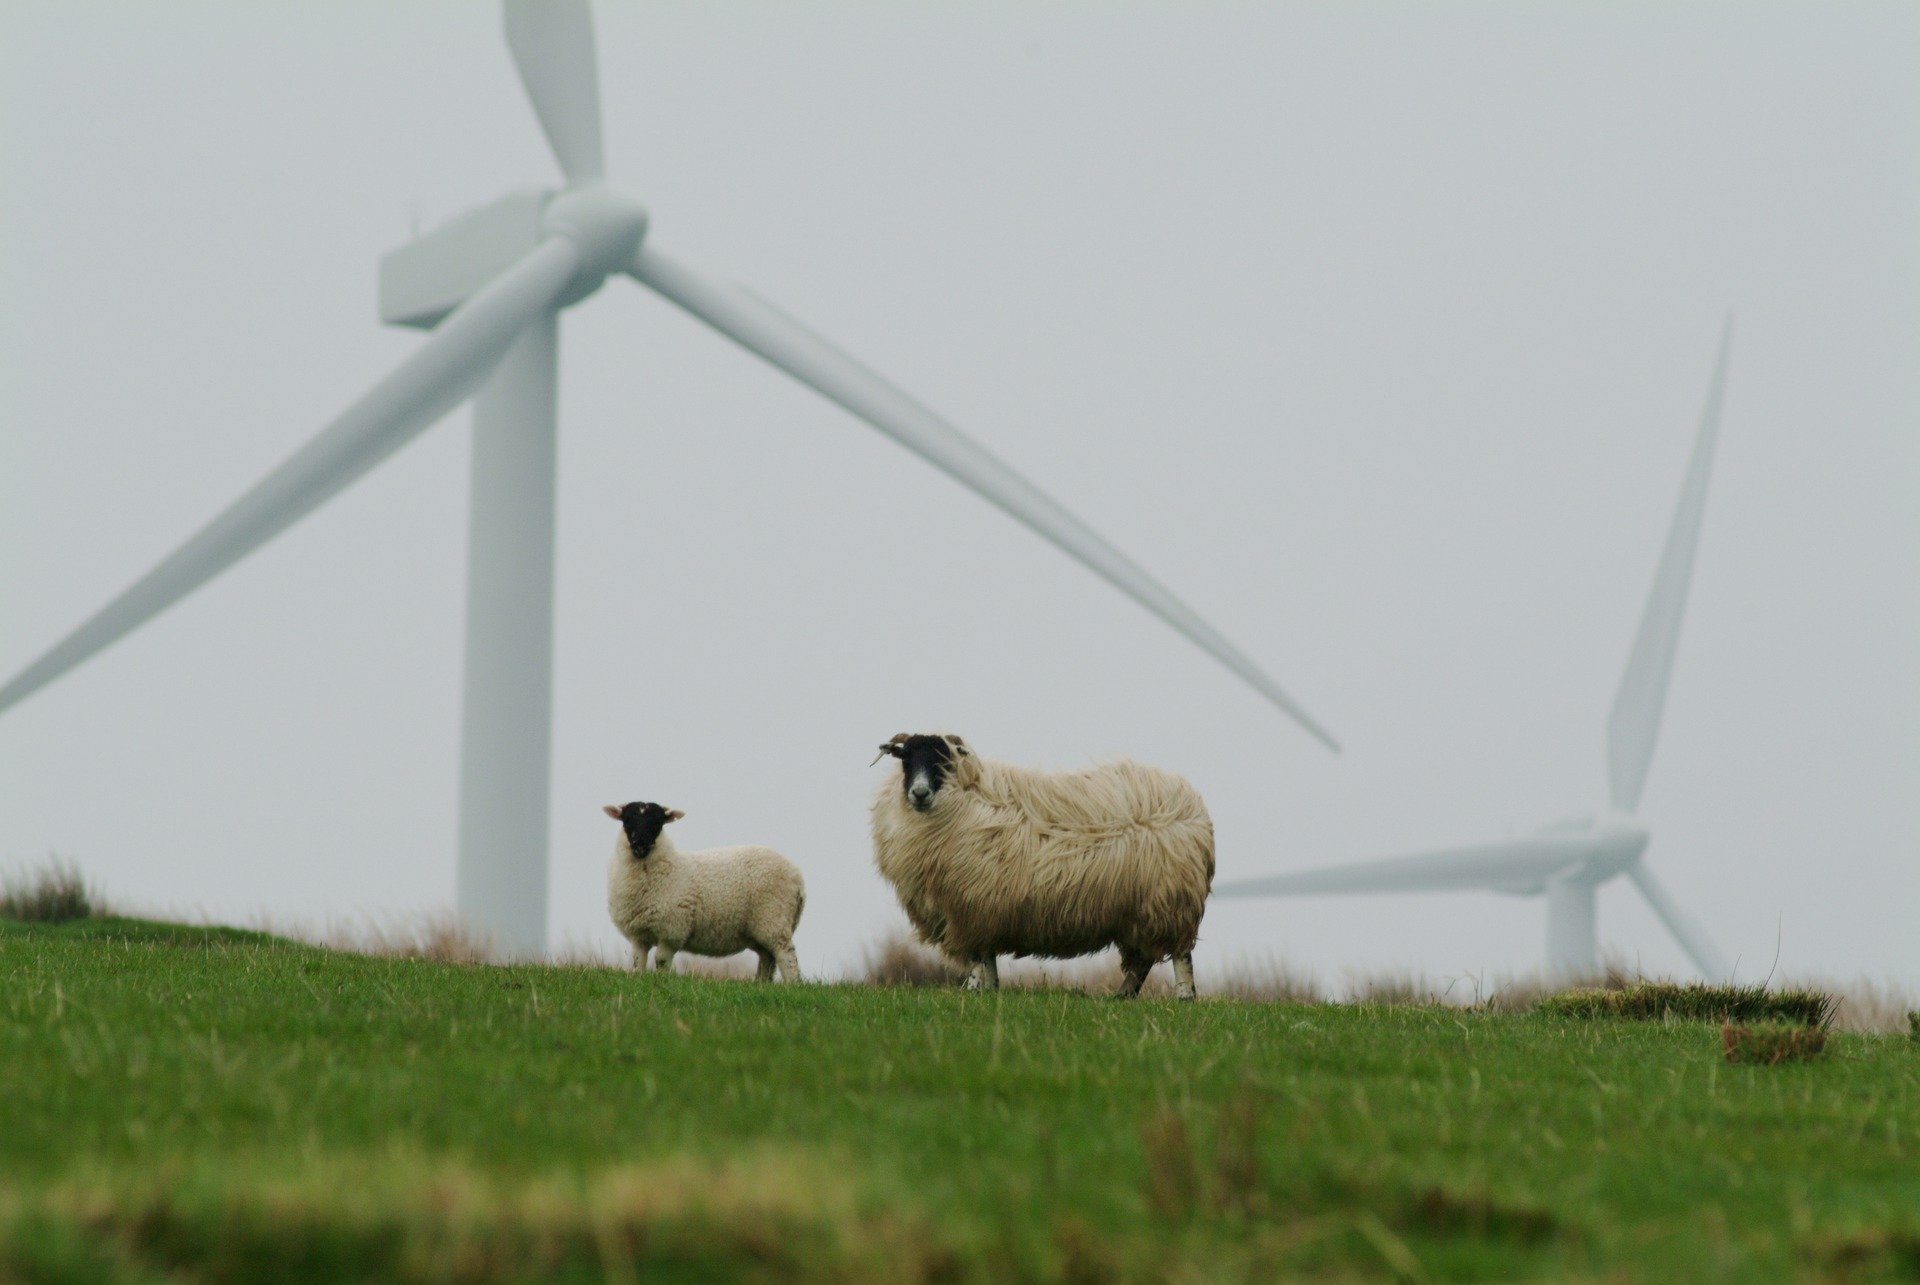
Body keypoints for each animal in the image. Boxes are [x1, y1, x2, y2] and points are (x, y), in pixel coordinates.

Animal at [606, 795, 802, 975]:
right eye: (627, 820)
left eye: (657, 823)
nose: (640, 844)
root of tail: (797, 876)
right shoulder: (638, 934)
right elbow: (637, 962)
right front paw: (638, 977)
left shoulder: (672, 930)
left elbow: (661, 961)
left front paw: (661, 979)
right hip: (760, 929)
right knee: (767, 958)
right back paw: (761, 983)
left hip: (773, 918)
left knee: (787, 955)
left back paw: (792, 984)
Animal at [871, 737, 1213, 998]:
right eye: (906, 759)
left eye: (942, 761)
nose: (919, 793)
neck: (962, 802)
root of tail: (1193, 806)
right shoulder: (982, 912)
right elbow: (986, 958)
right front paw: (989, 991)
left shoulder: (970, 908)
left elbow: (977, 957)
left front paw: (972, 990)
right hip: (1137, 913)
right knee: (1142, 961)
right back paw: (1122, 997)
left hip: (1170, 903)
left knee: (1180, 955)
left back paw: (1184, 996)